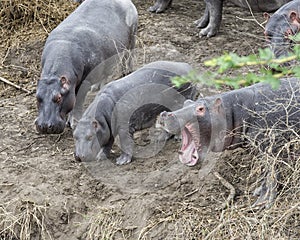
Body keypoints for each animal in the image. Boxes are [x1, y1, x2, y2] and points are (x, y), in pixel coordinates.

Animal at [35, 0, 138, 134]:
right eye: (37, 98)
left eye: (58, 98)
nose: (44, 126)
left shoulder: (85, 82)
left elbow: (78, 101)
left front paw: (74, 123)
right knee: (106, 72)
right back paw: (97, 87)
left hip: (132, 36)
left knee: (128, 54)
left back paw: (127, 72)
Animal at [157, 78, 300, 207]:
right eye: (186, 102)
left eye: (201, 109)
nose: (165, 114)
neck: (235, 109)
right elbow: (263, 173)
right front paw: (257, 192)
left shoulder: (271, 148)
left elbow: (271, 174)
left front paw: (262, 203)